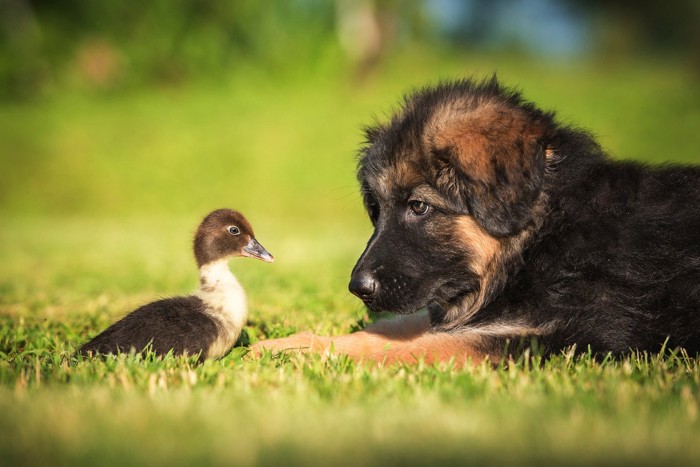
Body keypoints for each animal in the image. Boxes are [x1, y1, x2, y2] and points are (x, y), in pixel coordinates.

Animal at [254, 76, 700, 366]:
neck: (542, 235)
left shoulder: (574, 335)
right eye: (376, 210)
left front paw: (309, 352)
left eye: (419, 207)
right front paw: (295, 342)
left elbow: (429, 345)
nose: (357, 288)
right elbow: (403, 326)